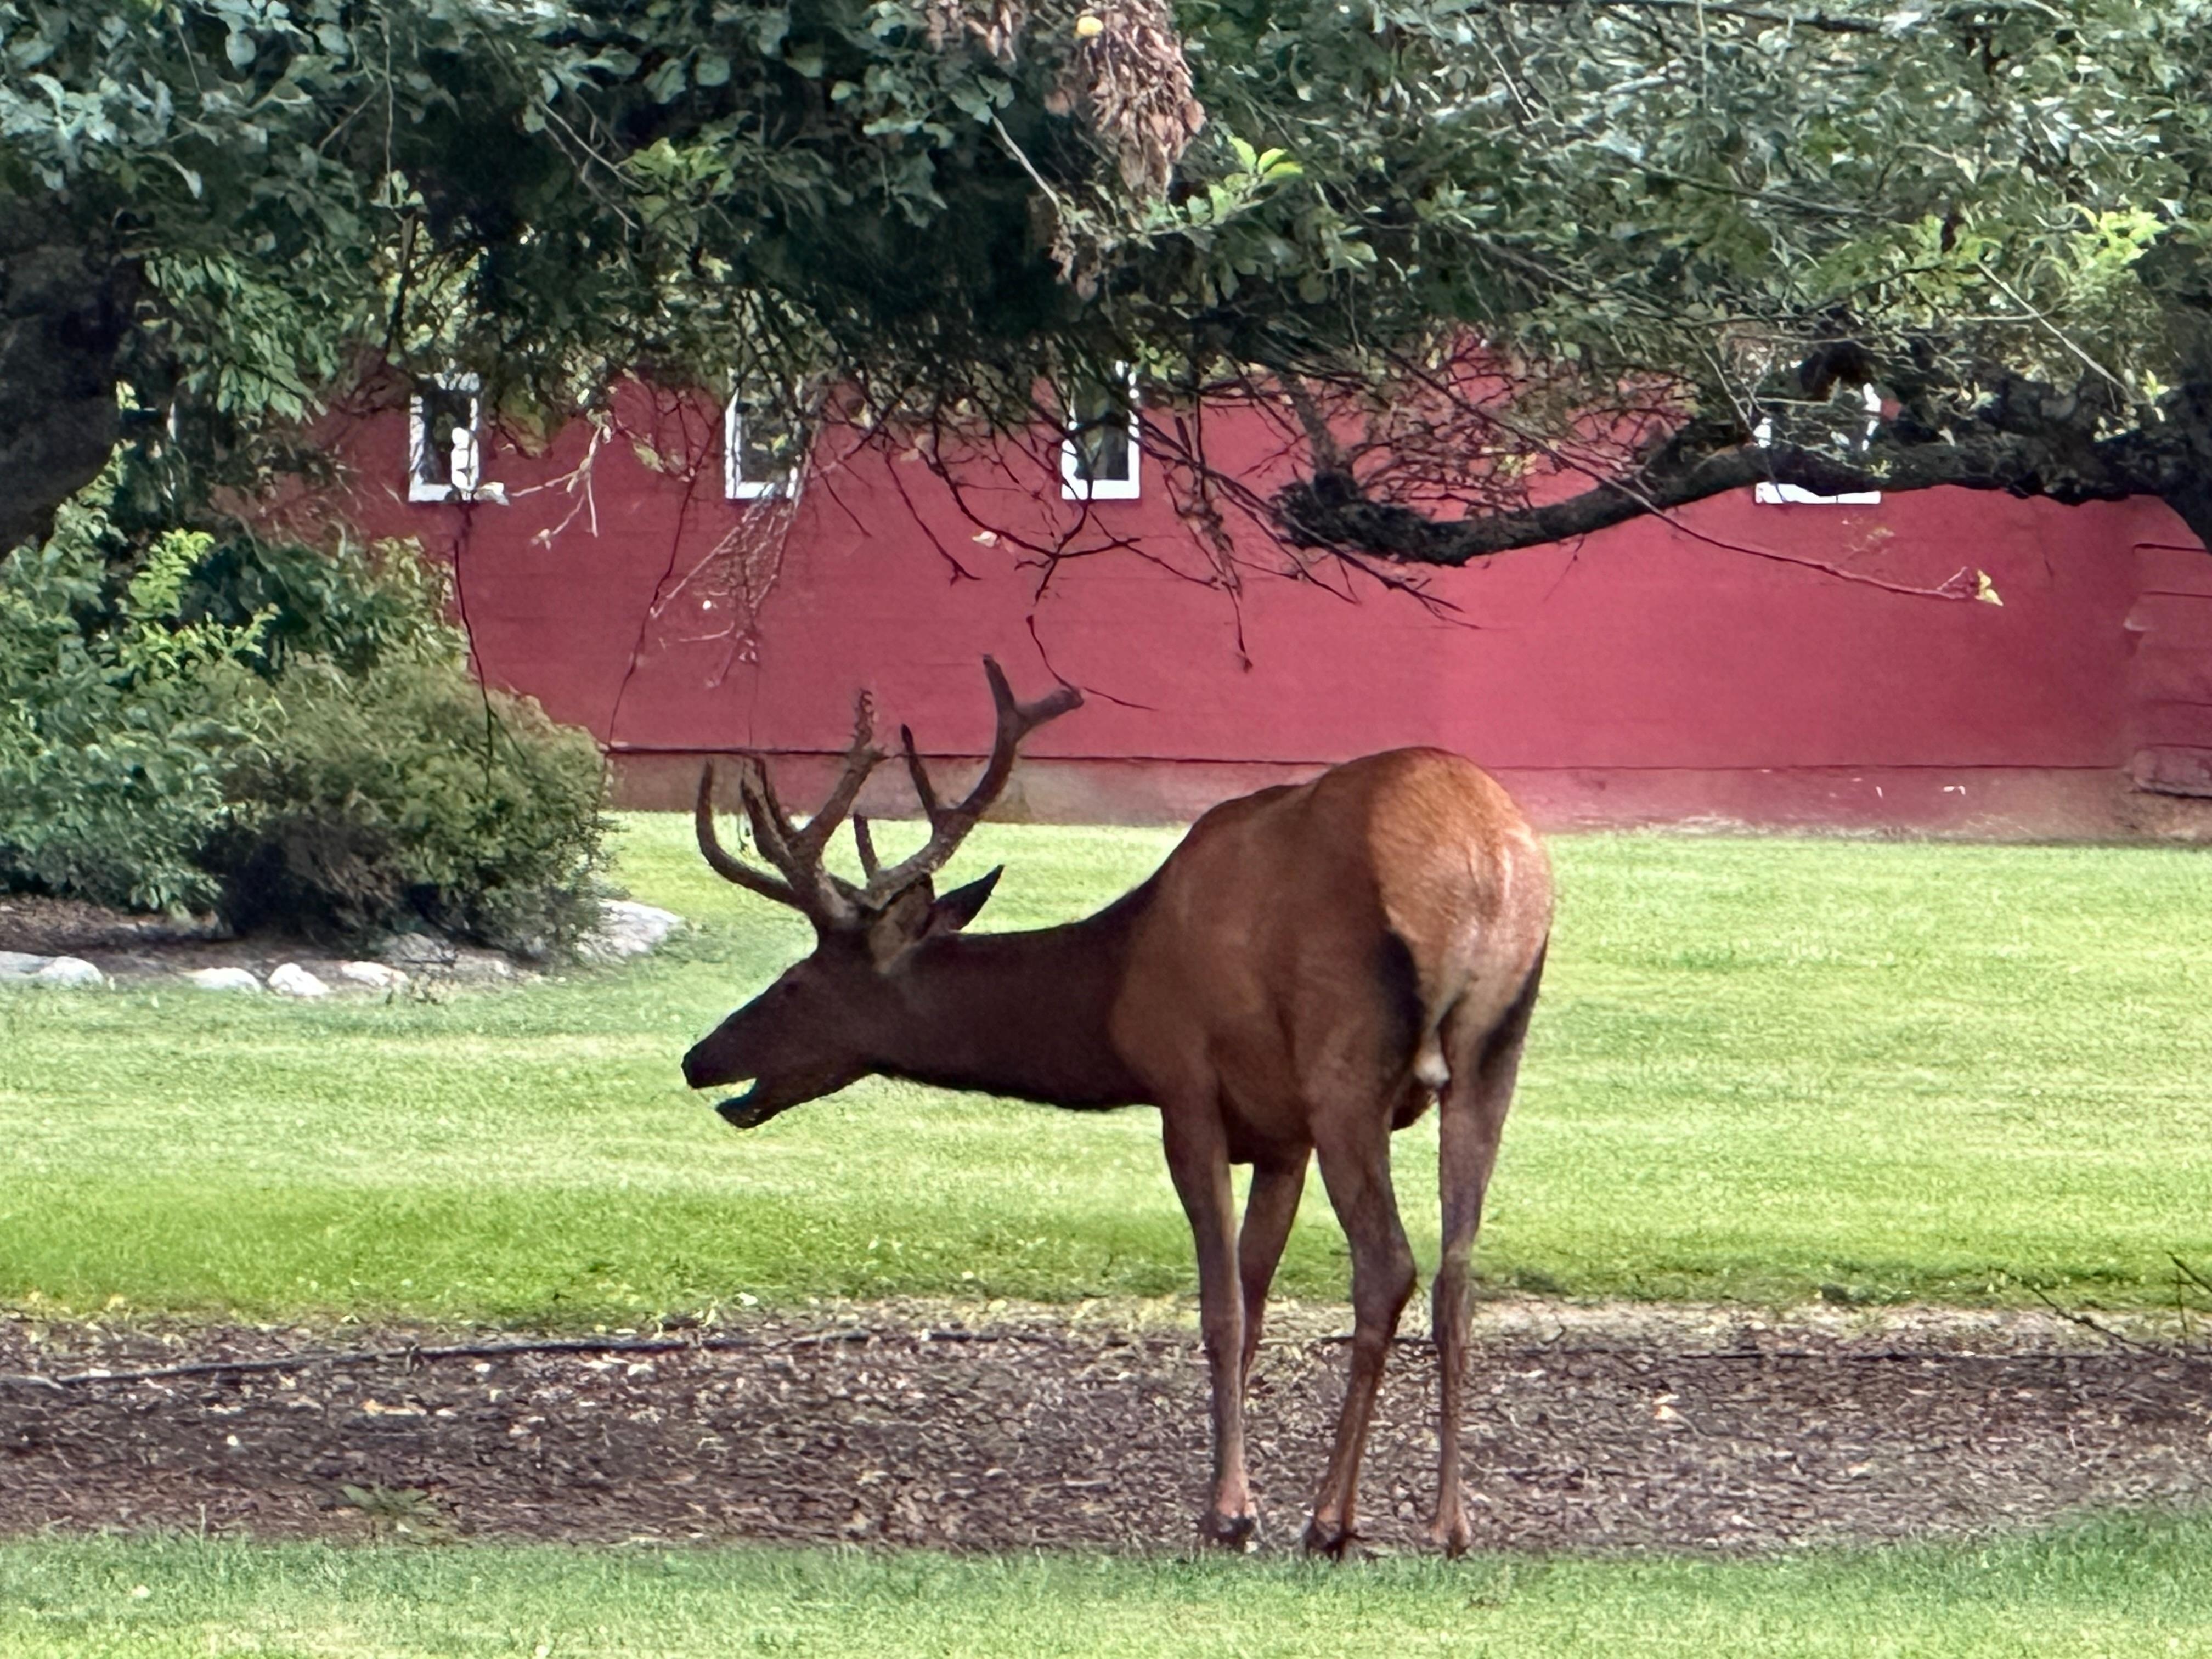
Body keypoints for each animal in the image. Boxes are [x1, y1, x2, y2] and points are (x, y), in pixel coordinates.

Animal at [682, 658, 1553, 1556]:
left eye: (795, 983)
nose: (698, 1058)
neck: (1116, 992)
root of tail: (1484, 865)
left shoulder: (1187, 1085)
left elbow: (1223, 1308)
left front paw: (1230, 1512)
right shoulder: (1282, 1135)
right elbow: (1256, 1296)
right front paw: (1231, 1493)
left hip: (1346, 1058)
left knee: (1388, 1266)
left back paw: (1331, 1522)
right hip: (1495, 1054)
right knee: (1458, 1276)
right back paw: (1450, 1525)